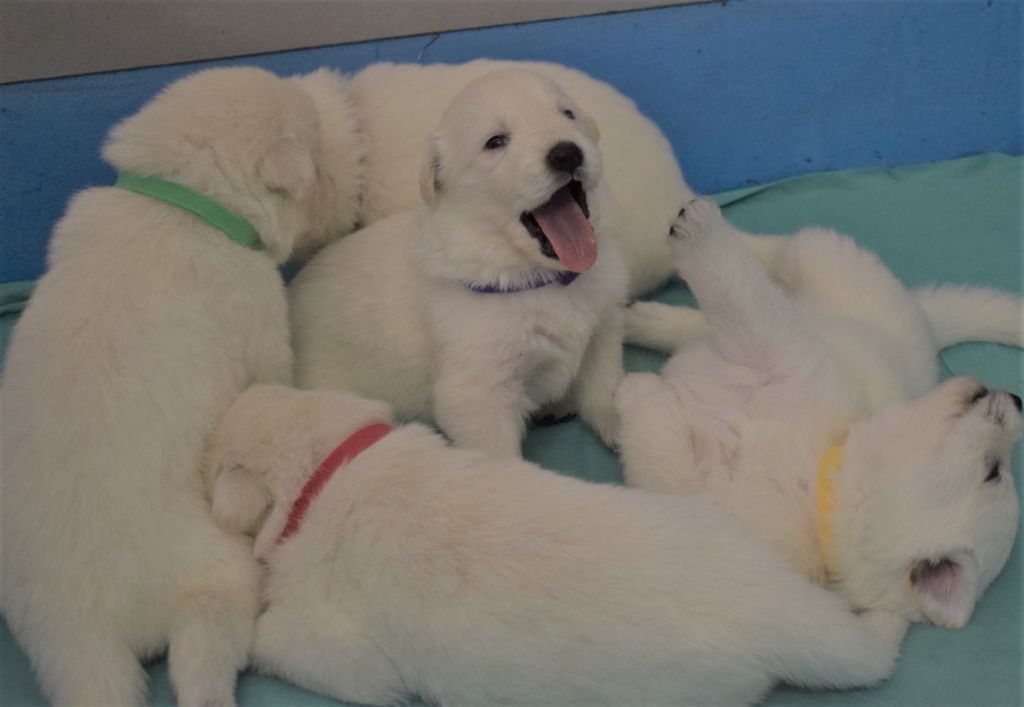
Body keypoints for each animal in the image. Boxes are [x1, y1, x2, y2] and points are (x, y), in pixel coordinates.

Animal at [1, 67, 352, 704]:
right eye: (316, 162)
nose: (342, 202)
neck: (180, 200)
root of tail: (85, 629)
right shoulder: (259, 318)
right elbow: (275, 372)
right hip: (218, 574)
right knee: (201, 660)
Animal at [203, 385, 909, 704]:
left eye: (217, 464)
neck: (326, 467)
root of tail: (768, 607)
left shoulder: (351, 656)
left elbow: (277, 637)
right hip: (719, 520)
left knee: (870, 657)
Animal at [610, 198, 1019, 627]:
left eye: (994, 472)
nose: (1016, 400)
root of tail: (926, 322)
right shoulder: (787, 359)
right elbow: (745, 299)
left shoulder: (691, 487)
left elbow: (658, 435)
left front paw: (635, 389)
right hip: (826, 267)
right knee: (775, 259)